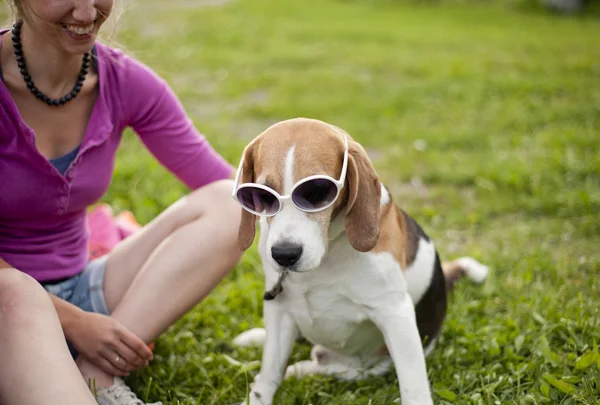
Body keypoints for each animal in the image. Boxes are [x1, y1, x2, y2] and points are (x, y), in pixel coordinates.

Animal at [230, 117, 488, 404]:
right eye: (263, 195)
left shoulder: (395, 314)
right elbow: (269, 373)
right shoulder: (280, 310)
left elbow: (413, 386)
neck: (328, 251)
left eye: (317, 192)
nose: (285, 254)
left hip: (367, 367)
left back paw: (301, 369)